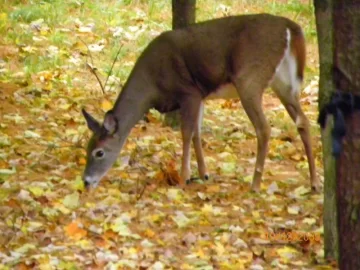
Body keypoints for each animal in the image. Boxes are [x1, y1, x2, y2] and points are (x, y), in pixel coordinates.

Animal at [81, 13, 318, 192]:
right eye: (87, 147)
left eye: (99, 152)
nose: (86, 181)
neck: (153, 84)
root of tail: (289, 27)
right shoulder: (201, 96)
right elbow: (197, 132)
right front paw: (204, 174)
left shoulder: (189, 91)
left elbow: (187, 133)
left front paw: (184, 177)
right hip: (282, 82)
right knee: (303, 122)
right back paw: (314, 183)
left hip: (250, 78)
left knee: (264, 128)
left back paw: (255, 184)